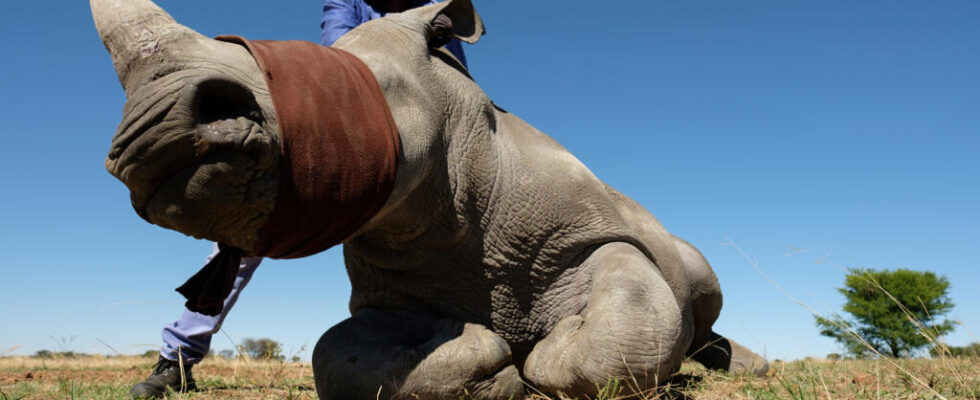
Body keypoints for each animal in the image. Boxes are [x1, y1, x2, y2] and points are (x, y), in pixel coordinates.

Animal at [90, 0, 764, 398]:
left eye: (351, 91)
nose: (152, 136)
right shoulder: (391, 283)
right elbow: (338, 355)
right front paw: (486, 358)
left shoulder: (599, 234)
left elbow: (623, 325)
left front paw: (541, 358)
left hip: (669, 238)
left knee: (698, 283)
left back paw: (735, 364)